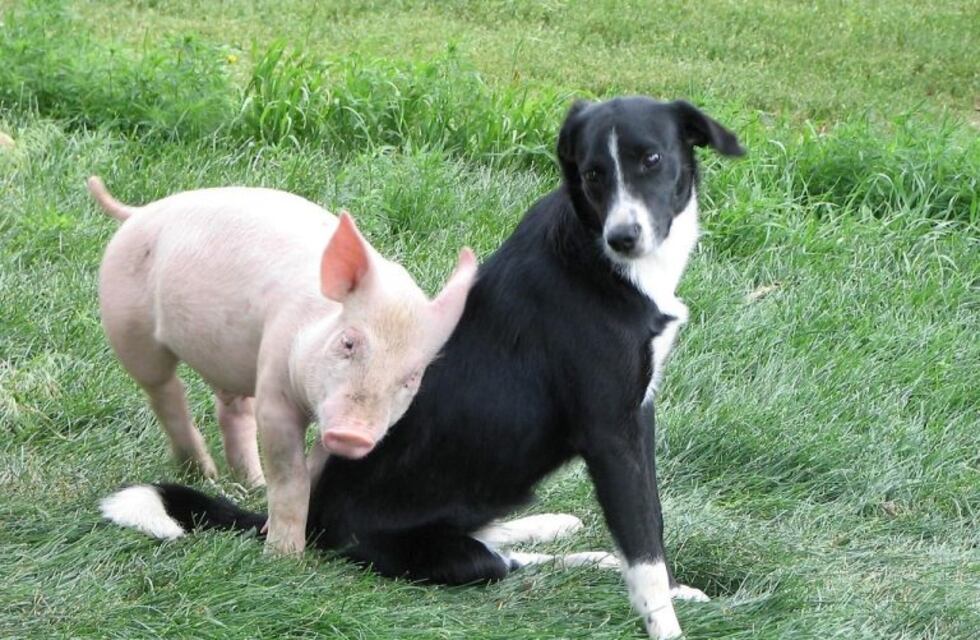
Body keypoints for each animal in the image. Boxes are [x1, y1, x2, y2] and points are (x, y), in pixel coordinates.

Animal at [89, 176, 477, 554]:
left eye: (410, 377)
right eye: (348, 343)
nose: (354, 433)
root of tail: (140, 211)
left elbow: (315, 465)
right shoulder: (275, 381)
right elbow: (290, 473)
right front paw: (284, 555)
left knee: (231, 408)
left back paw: (251, 483)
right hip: (127, 323)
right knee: (165, 391)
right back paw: (204, 472)